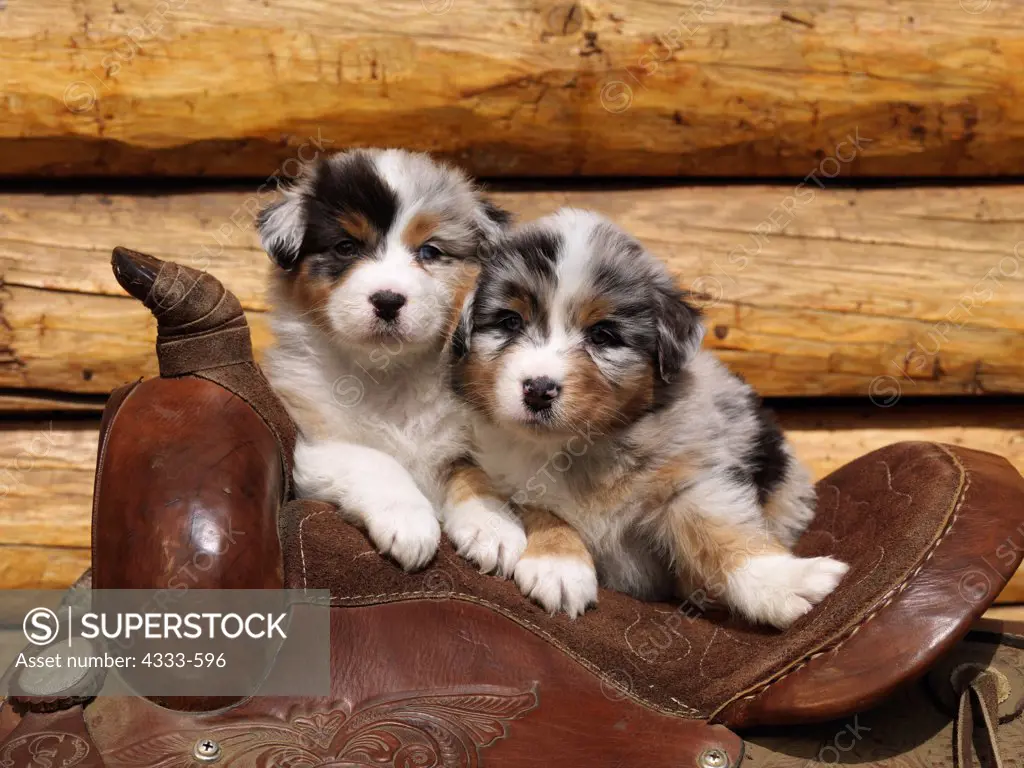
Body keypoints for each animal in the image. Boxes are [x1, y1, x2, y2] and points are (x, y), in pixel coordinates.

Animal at [256, 148, 528, 573]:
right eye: (346, 247)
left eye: (430, 251)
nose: (387, 301)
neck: (387, 373)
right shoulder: (316, 442)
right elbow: (375, 459)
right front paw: (409, 522)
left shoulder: (467, 439)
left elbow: (474, 475)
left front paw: (495, 528)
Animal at [454, 207, 847, 626]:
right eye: (510, 322)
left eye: (603, 335)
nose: (539, 389)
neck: (574, 449)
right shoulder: (507, 474)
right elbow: (543, 510)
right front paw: (559, 567)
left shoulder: (689, 478)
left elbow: (722, 531)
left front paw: (785, 582)